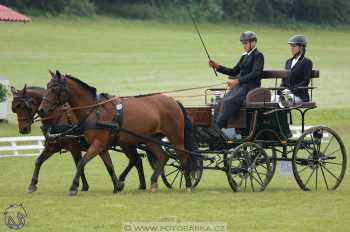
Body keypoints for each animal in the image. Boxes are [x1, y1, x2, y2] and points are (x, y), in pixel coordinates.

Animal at [37, 70, 194, 194]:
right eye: (47, 86)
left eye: (55, 88)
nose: (41, 110)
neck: (94, 110)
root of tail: (173, 101)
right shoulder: (101, 146)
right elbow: (109, 166)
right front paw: (117, 186)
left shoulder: (97, 144)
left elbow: (81, 162)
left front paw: (74, 187)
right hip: (150, 139)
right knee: (162, 156)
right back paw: (153, 182)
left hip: (175, 137)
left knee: (183, 157)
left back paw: (188, 184)